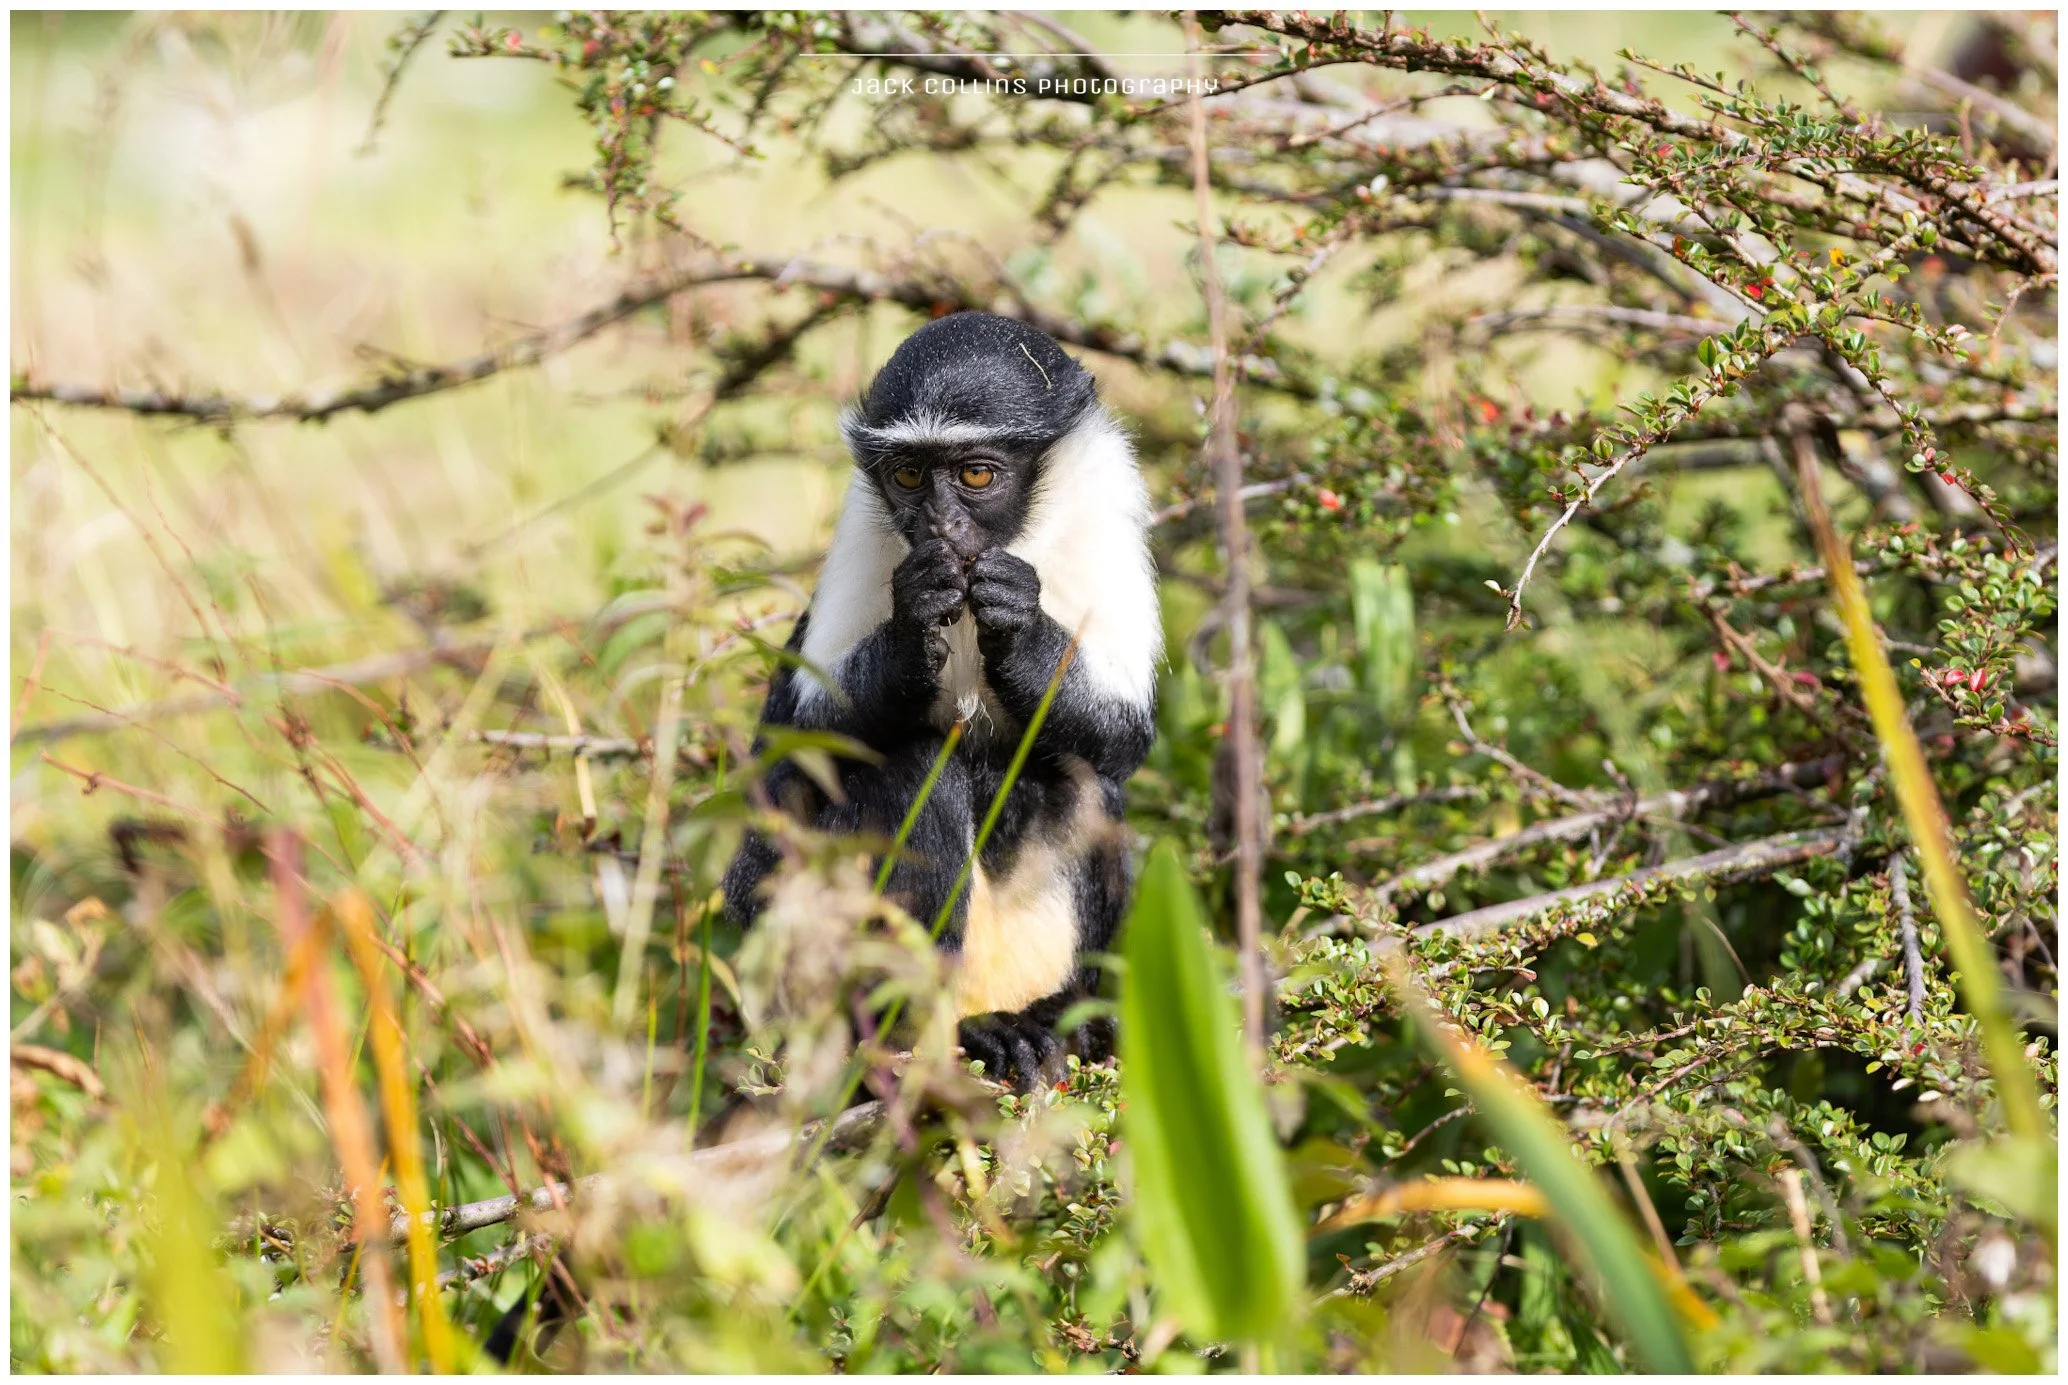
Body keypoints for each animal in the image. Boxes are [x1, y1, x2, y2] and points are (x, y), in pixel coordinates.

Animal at [721, 310, 1162, 1091]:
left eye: (976, 473)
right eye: (907, 475)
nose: (939, 530)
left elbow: (1122, 740)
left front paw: (1021, 628)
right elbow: (807, 740)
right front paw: (911, 629)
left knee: (1085, 781)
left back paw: (1052, 1018)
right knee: (911, 765)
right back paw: (928, 1042)